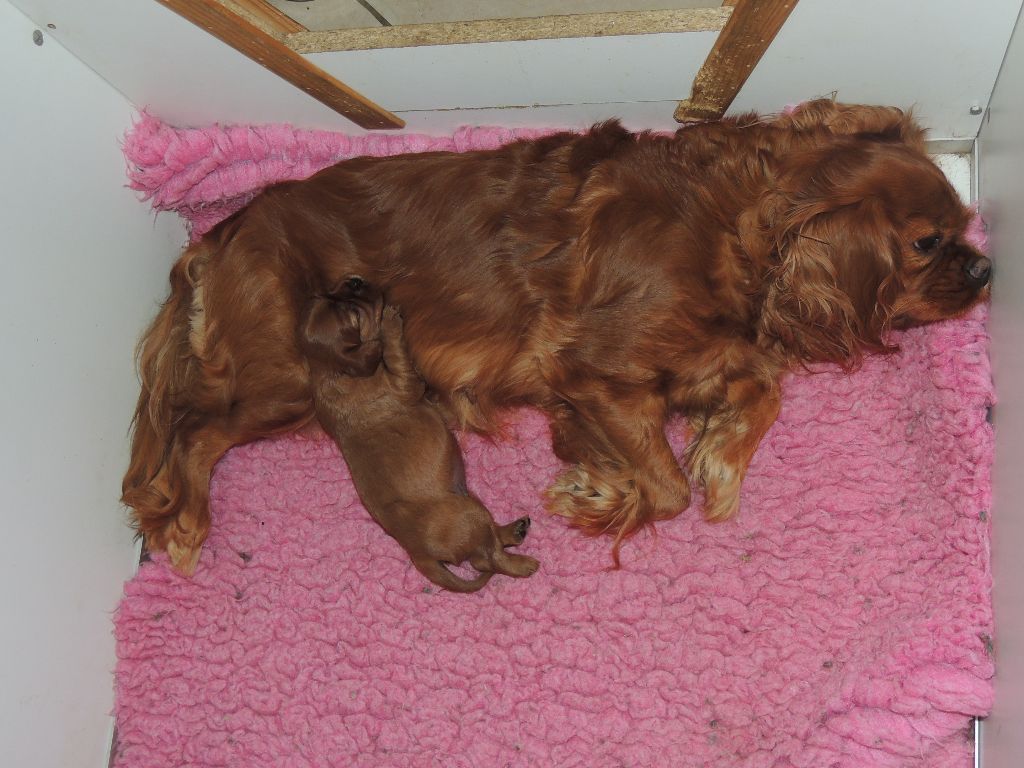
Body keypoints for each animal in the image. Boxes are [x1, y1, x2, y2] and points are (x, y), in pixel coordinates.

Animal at [299, 278, 540, 593]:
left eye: (336, 290)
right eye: (353, 311)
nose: (355, 279)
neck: (328, 370)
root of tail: (418, 554)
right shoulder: (403, 384)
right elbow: (398, 359)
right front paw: (389, 324)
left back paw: (515, 530)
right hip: (470, 513)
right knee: (486, 559)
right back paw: (524, 563)